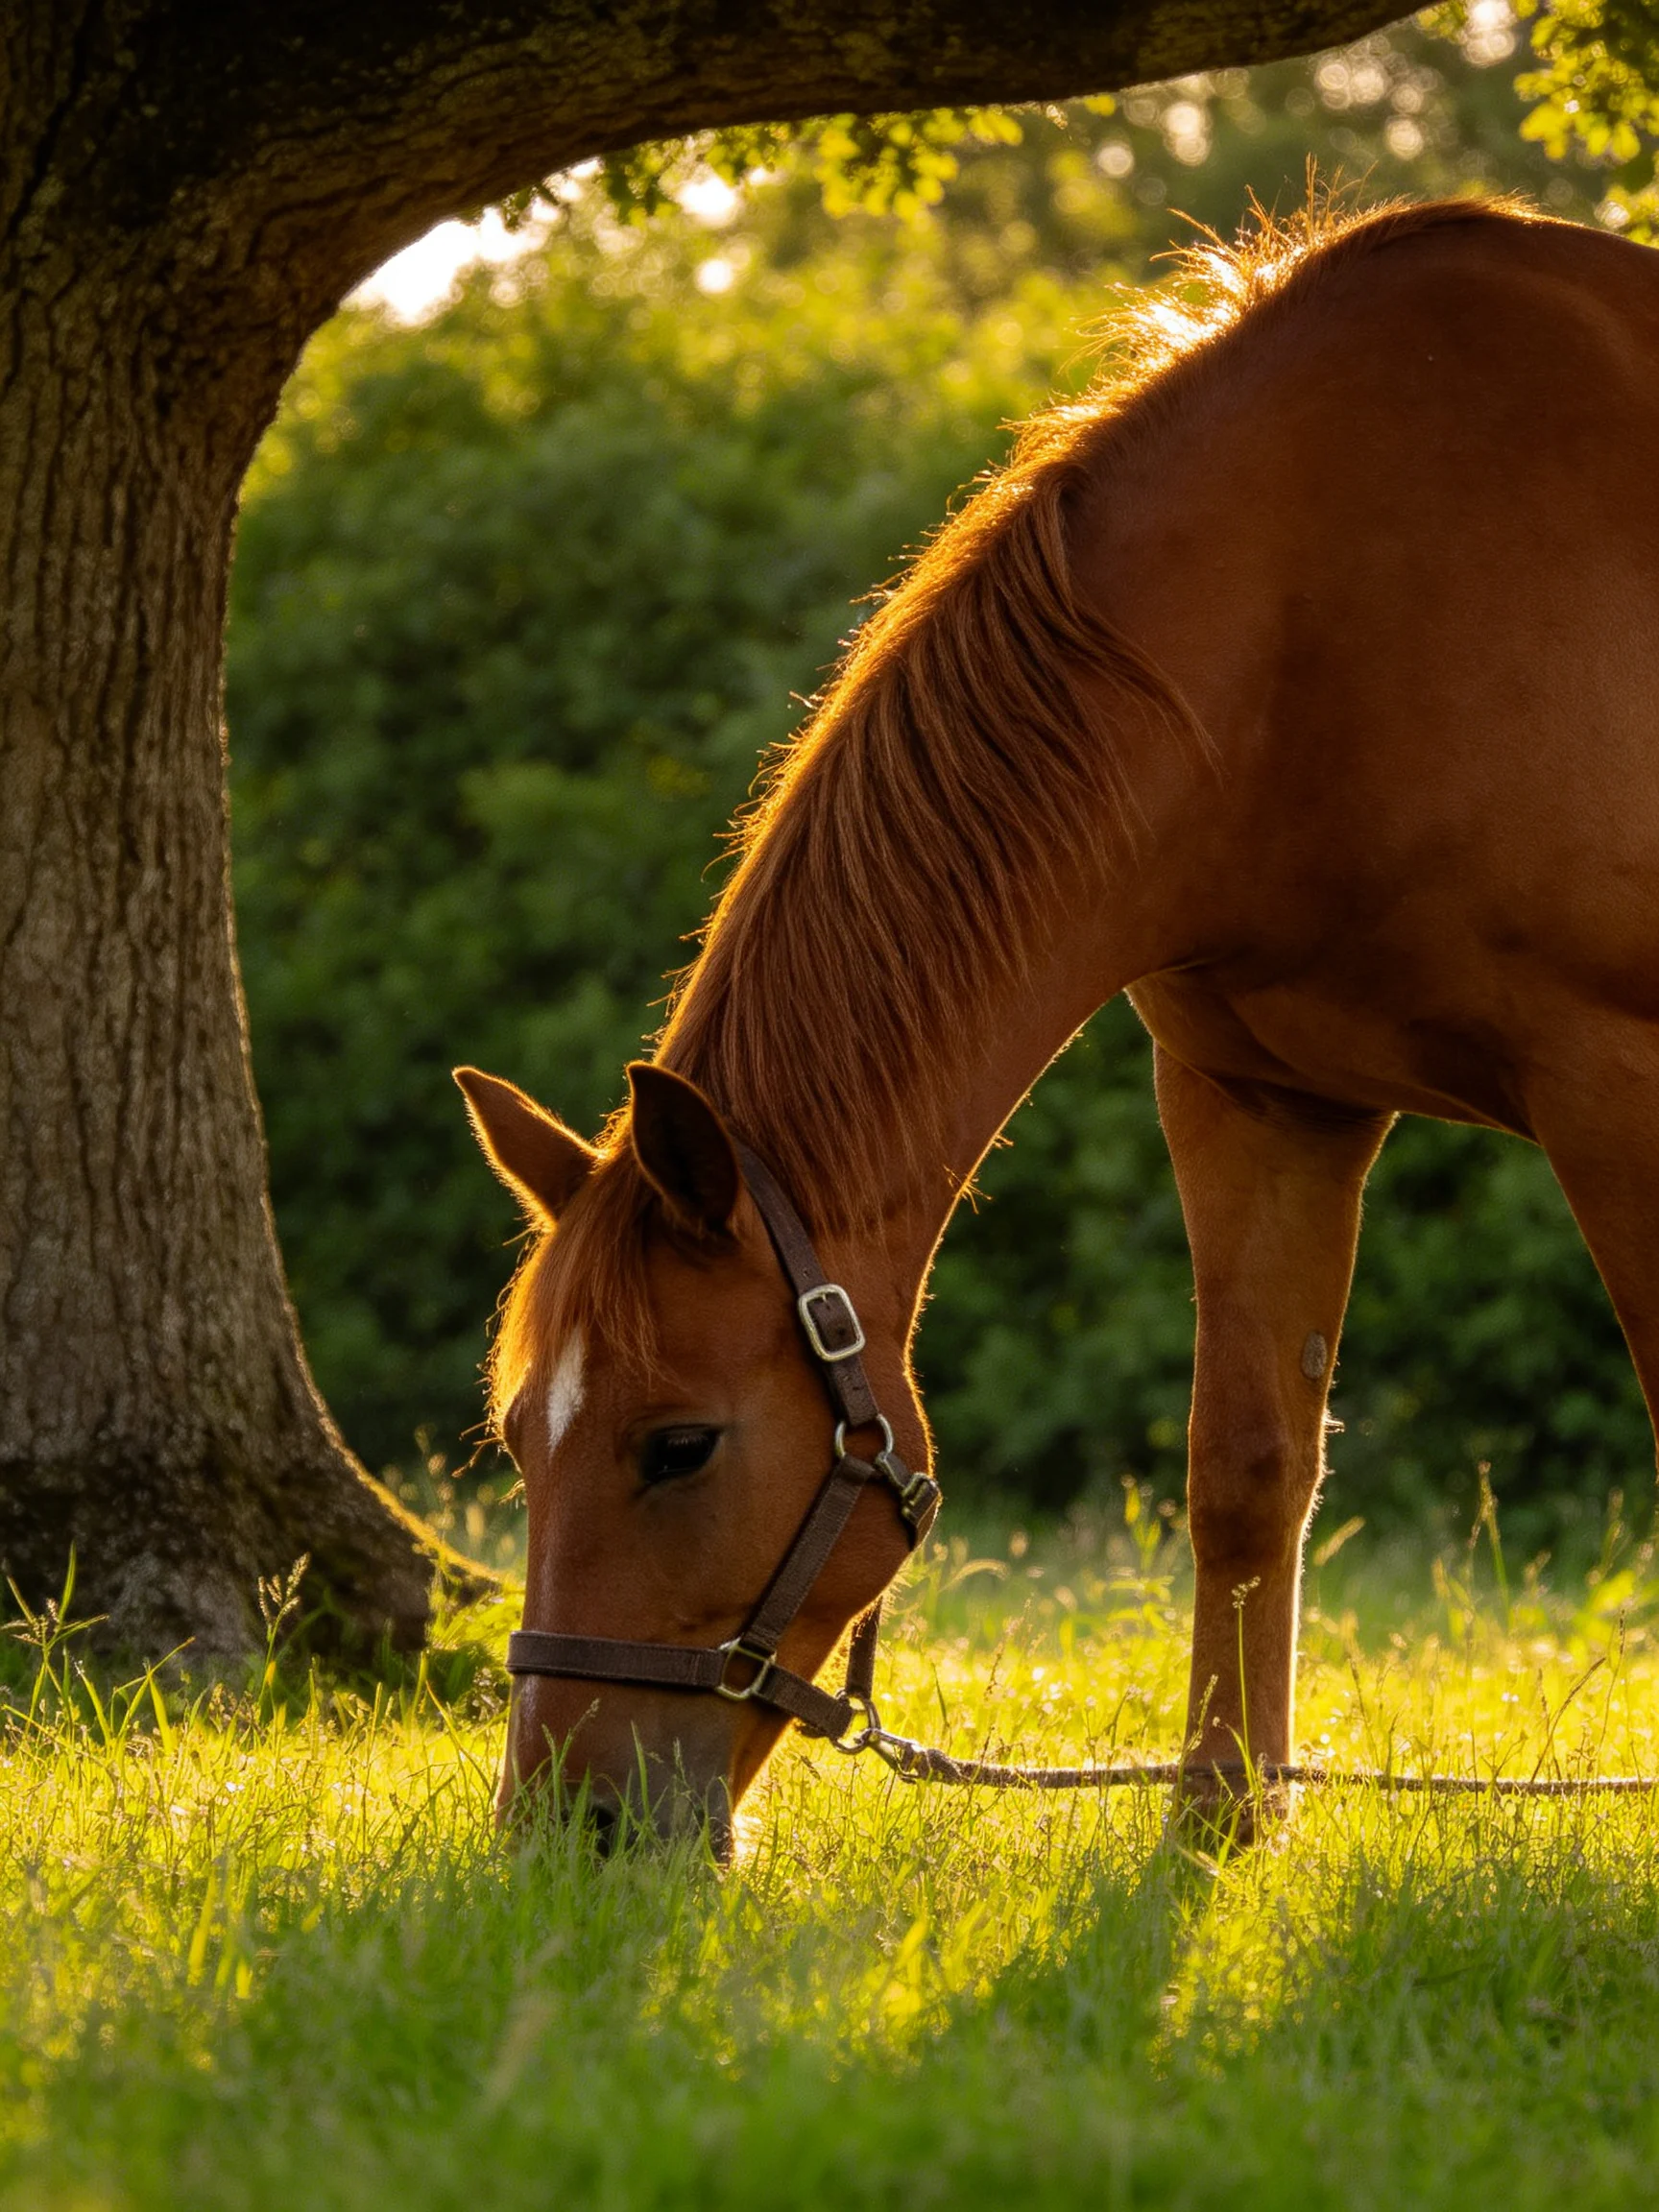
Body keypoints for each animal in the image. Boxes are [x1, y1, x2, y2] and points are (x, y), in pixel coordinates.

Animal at [457, 195, 1659, 1853]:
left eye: (678, 1444)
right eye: (520, 1440)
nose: (568, 1826)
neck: (1331, 611)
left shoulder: (1619, 1090)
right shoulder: (1252, 1094)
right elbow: (1246, 1469)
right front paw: (1220, 1818)